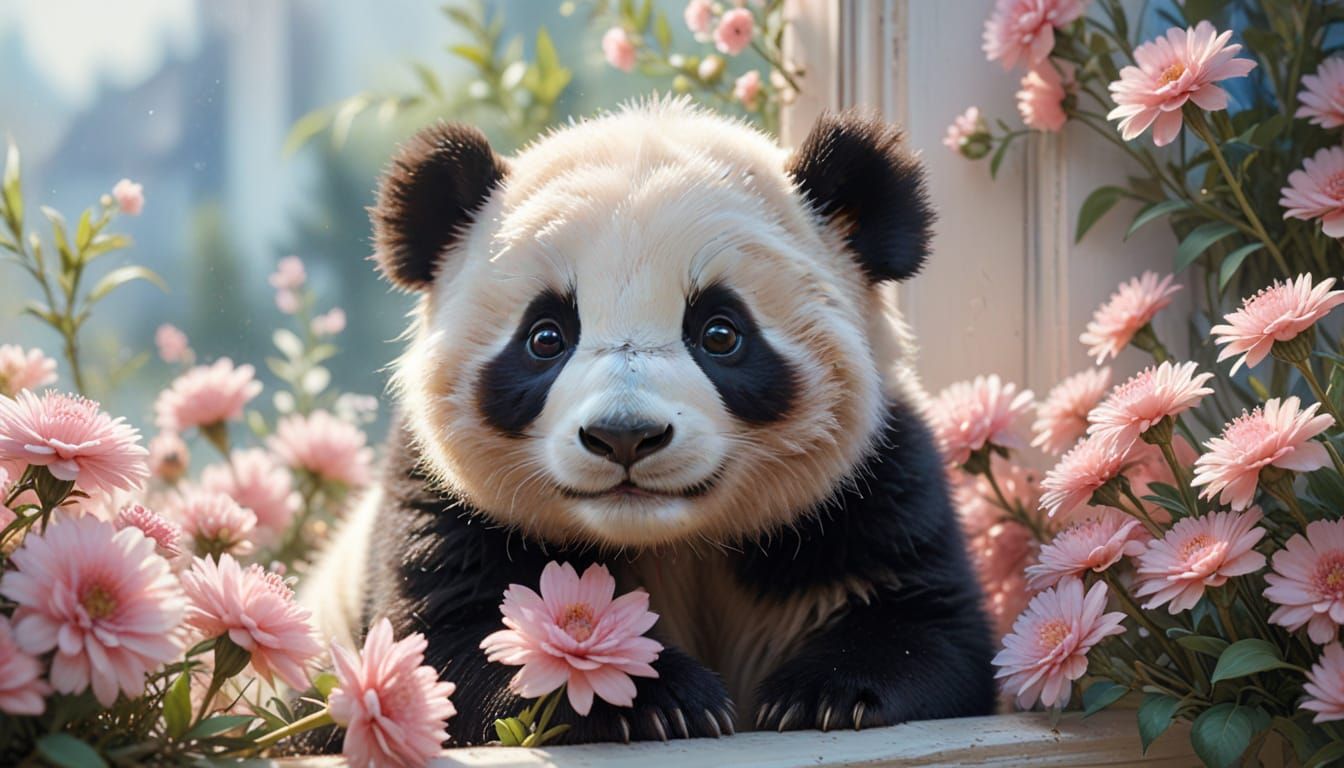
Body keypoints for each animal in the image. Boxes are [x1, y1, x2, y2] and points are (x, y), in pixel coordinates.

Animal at [303, 97, 996, 747]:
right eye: (545, 337)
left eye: (720, 332)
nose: (625, 435)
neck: (670, 540)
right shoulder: (442, 501)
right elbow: (451, 643)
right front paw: (656, 698)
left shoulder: (872, 484)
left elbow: (930, 622)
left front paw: (827, 694)